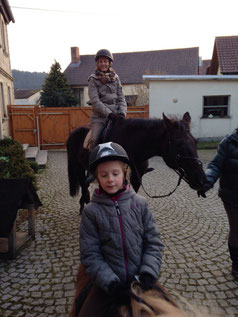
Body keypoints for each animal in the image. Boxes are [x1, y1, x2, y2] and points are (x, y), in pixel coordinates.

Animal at [66, 111, 205, 212]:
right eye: (178, 144)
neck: (132, 145)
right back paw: (83, 205)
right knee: (83, 183)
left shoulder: (137, 177)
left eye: (195, 142)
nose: (201, 179)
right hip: (77, 166)